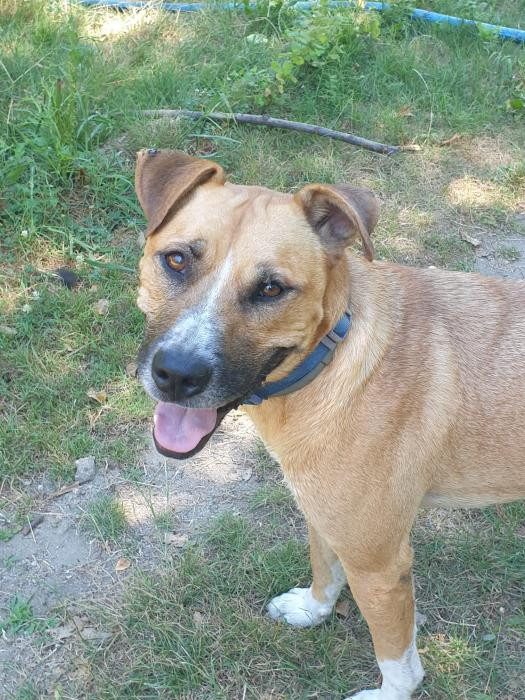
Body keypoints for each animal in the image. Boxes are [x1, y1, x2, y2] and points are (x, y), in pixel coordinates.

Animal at [134, 148, 525, 699]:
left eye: (271, 288)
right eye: (176, 260)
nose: (177, 374)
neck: (334, 355)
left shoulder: (380, 563)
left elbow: (399, 661)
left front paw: (389, 694)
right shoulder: (323, 515)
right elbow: (324, 569)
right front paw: (312, 609)